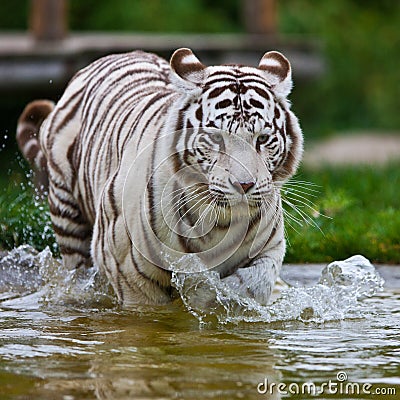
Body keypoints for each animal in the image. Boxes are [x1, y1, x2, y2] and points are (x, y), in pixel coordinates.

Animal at [16, 49, 304, 306]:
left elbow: (254, 283)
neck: (220, 223)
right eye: (216, 138)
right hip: (69, 219)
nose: (244, 185)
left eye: (262, 139)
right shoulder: (127, 269)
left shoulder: (268, 251)